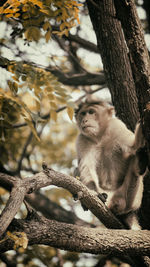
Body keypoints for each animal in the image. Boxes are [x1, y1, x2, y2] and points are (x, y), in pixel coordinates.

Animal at [75, 98, 148, 230]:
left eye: (91, 112)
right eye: (83, 114)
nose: (84, 120)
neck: (100, 136)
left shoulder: (116, 126)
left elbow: (134, 146)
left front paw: (142, 122)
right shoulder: (82, 139)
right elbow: (87, 167)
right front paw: (96, 194)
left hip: (128, 199)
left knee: (135, 165)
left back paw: (140, 163)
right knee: (77, 169)